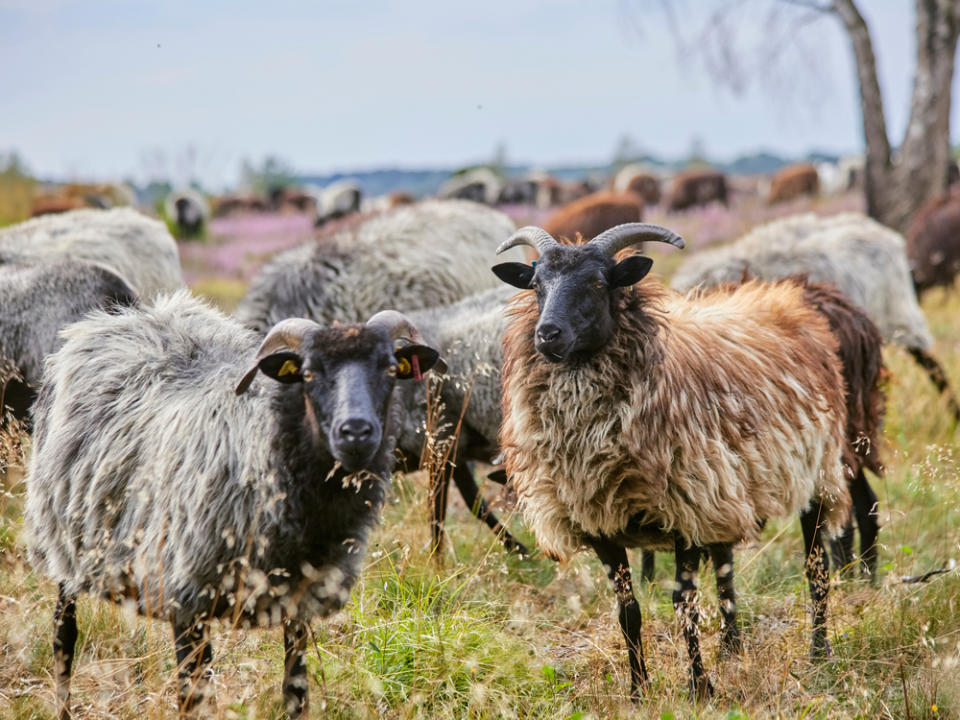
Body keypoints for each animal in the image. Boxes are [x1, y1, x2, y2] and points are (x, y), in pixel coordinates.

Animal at [23, 294, 442, 720]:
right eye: (308, 374)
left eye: (389, 369)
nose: (356, 432)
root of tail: (116, 319)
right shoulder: (186, 600)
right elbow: (193, 699)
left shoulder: (299, 599)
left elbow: (296, 691)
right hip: (64, 544)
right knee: (64, 638)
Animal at [496, 224, 848, 696]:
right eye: (535, 285)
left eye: (598, 283)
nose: (547, 335)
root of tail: (786, 299)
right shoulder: (600, 522)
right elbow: (628, 612)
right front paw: (638, 690)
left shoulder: (686, 512)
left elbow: (684, 604)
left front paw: (700, 688)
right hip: (724, 492)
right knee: (726, 569)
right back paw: (732, 648)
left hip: (816, 476)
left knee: (815, 568)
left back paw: (818, 653)